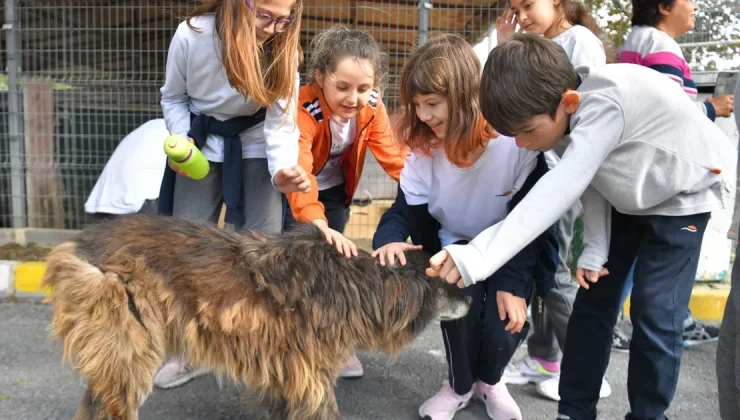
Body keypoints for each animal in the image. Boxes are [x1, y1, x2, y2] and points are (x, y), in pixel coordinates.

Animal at [42, 215, 468, 420]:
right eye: (447, 280)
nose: (470, 298)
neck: (356, 283)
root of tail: (79, 243)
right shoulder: (311, 377)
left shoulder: (286, 373)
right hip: (130, 352)